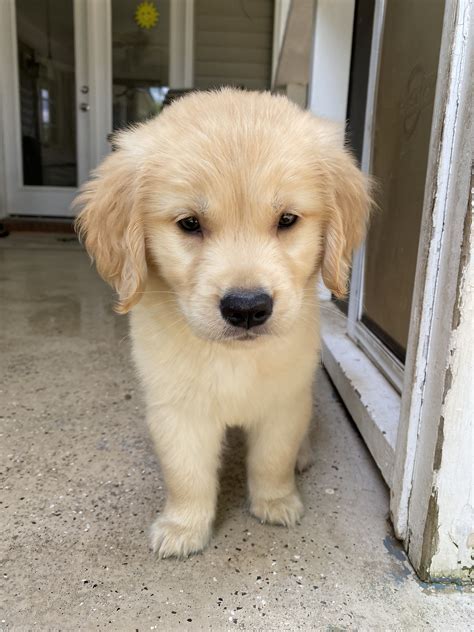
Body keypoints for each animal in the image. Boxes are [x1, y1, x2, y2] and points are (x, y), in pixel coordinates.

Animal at [75, 89, 370, 556]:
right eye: (189, 224)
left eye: (287, 220)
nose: (247, 308)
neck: (233, 358)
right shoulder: (177, 410)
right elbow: (186, 474)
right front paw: (183, 526)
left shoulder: (284, 402)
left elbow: (272, 459)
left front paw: (276, 502)